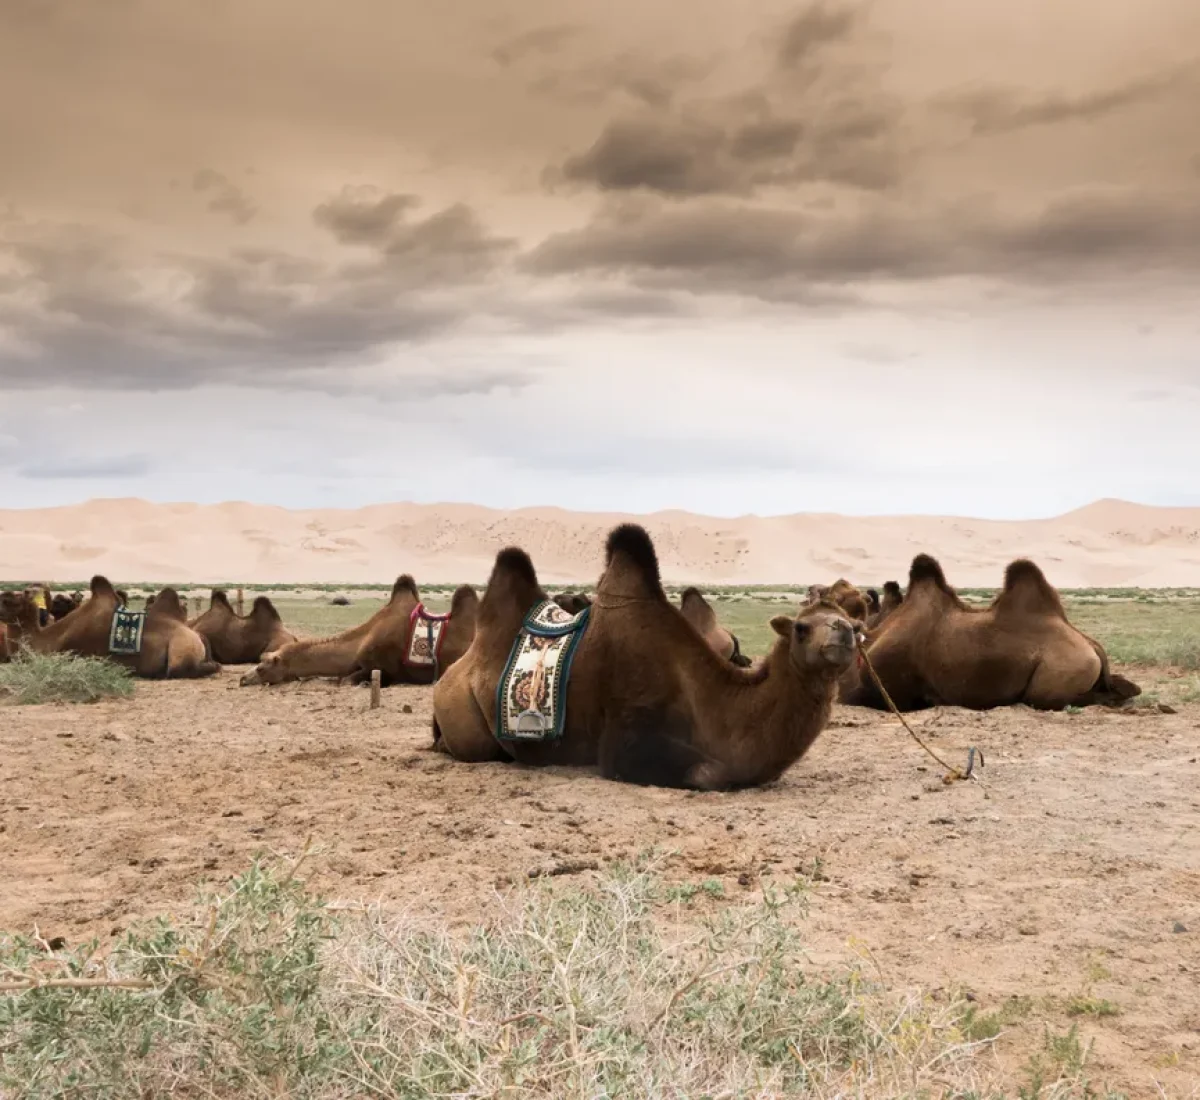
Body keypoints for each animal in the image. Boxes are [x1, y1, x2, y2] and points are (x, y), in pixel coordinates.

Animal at [431, 524, 861, 790]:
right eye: (802, 628)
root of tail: (452, 674)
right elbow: (709, 772)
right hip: (464, 721)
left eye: (854, 625)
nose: (843, 633)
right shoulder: (629, 730)